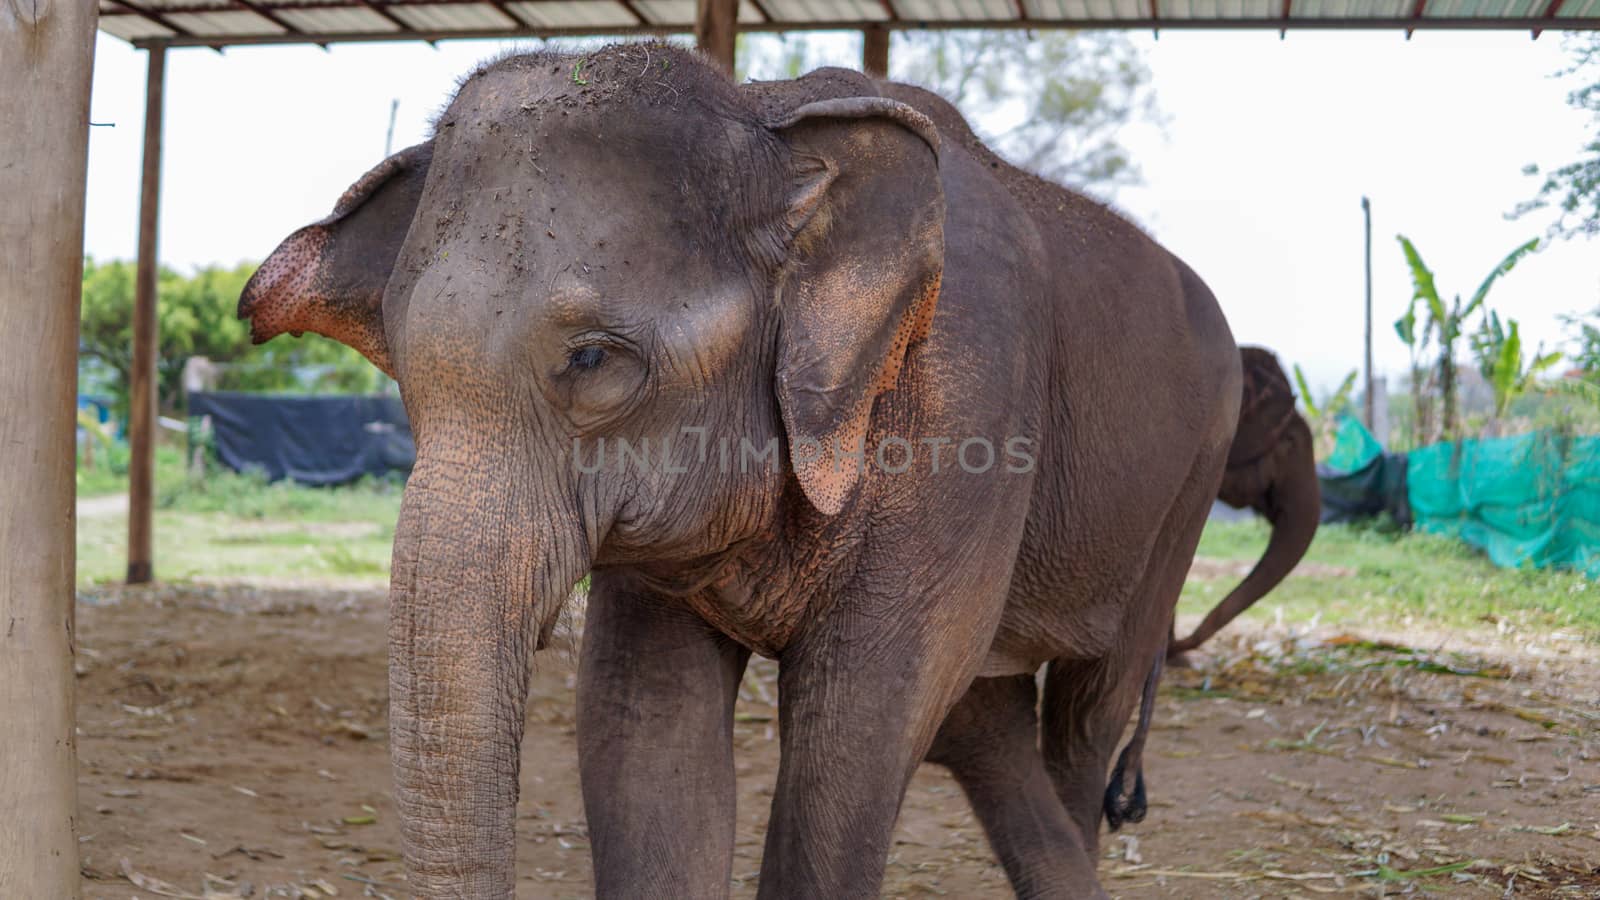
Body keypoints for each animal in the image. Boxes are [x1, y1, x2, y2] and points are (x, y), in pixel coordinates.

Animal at [236, 47, 1241, 896]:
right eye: (401, 370)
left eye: (592, 360)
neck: (767, 116)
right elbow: (645, 725)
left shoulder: (972, 406)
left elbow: (862, 720)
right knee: (988, 720)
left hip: (1192, 481)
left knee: (1087, 712)